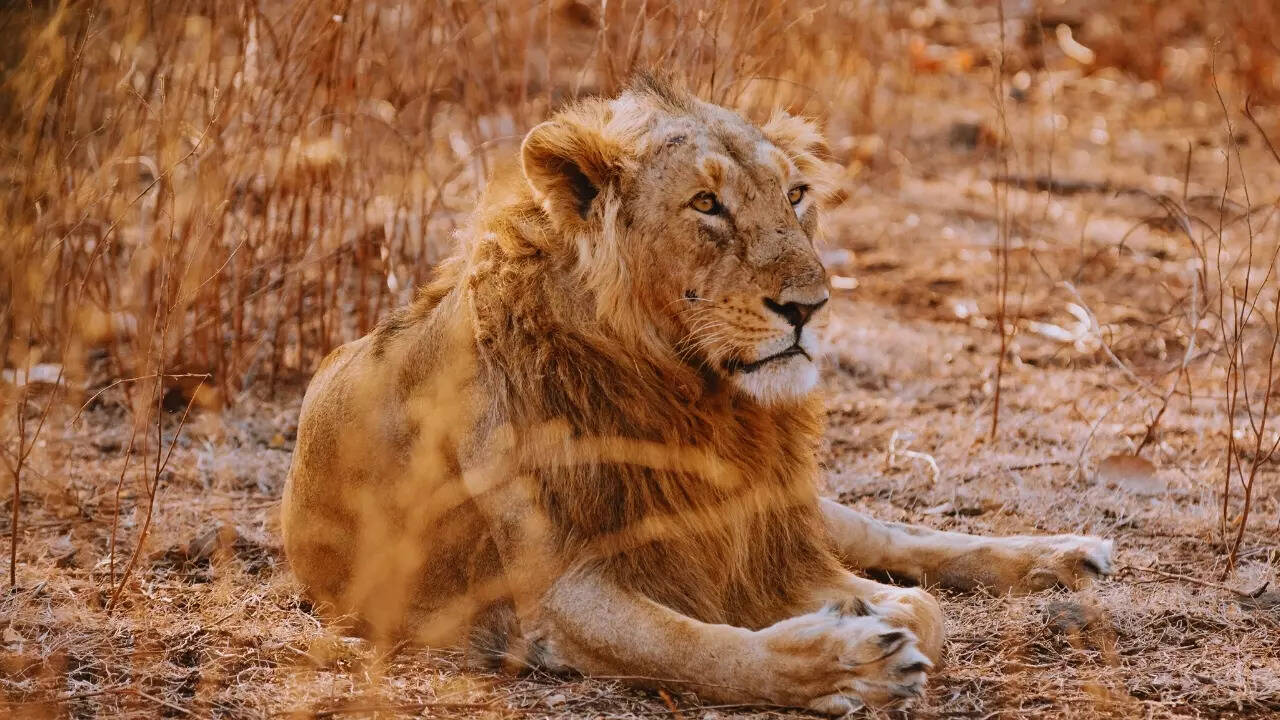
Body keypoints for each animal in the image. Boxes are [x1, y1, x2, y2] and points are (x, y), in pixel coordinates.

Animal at [281, 76, 1114, 713]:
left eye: (796, 194)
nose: (811, 306)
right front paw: (842, 664)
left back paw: (1064, 554)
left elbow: (920, 605)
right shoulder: (560, 591)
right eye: (706, 204)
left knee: (889, 533)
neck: (696, 399)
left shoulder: (750, 527)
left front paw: (867, 615)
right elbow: (697, 646)